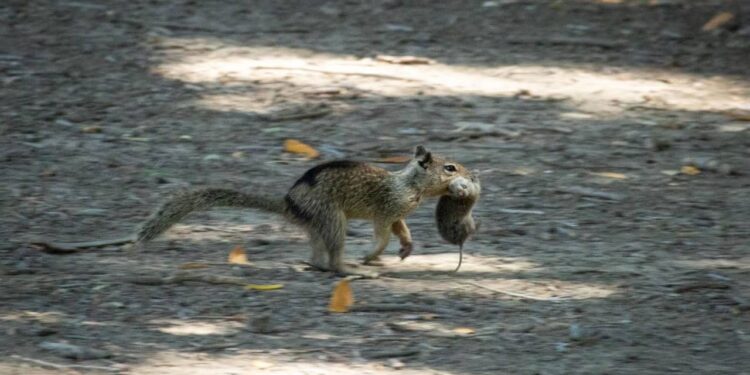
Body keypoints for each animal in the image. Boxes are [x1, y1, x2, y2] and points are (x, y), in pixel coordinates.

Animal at [135, 145, 472, 278]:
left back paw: (321, 265)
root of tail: (288, 203)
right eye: (450, 168)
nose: (471, 175)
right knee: (333, 260)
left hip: (318, 225)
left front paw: (406, 247)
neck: (410, 184)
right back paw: (353, 268)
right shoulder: (385, 209)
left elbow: (402, 229)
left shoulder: (398, 214)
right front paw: (372, 255)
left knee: (318, 258)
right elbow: (382, 235)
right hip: (332, 219)